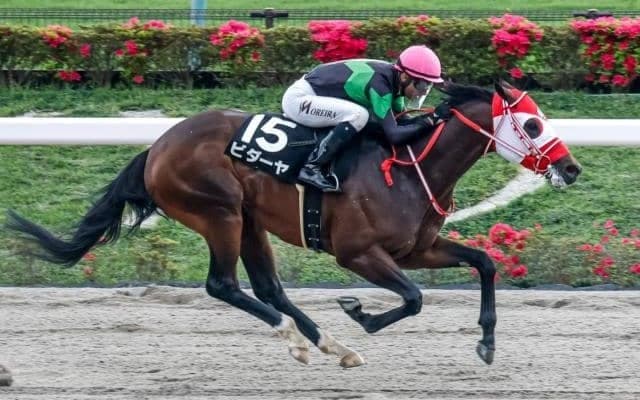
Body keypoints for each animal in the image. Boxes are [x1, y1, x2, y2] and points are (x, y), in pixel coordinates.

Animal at [6, 81, 582, 368]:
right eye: (533, 123)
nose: (571, 168)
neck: (409, 167)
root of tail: (158, 146)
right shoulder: (358, 253)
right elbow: (415, 298)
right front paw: (360, 313)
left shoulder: (415, 249)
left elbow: (484, 263)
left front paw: (487, 343)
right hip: (218, 211)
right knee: (223, 284)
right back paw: (301, 339)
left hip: (249, 220)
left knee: (268, 286)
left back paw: (330, 345)